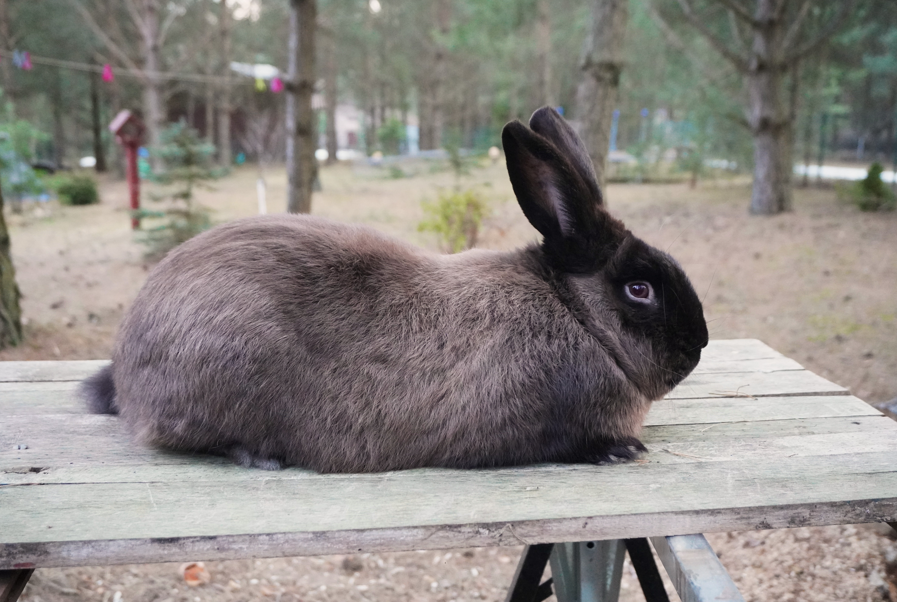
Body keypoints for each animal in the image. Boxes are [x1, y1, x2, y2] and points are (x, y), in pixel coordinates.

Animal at [81, 106, 708, 473]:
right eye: (640, 289)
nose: (700, 342)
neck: (578, 315)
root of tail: (127, 365)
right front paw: (621, 449)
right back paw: (259, 456)